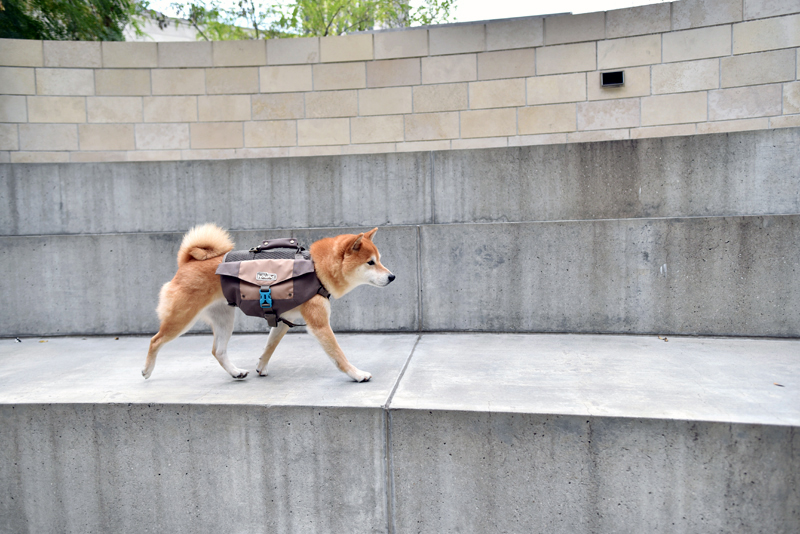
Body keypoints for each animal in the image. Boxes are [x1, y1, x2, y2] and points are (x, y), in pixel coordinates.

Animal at [144, 224, 396, 384]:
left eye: (379, 260)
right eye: (370, 263)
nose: (392, 276)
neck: (315, 269)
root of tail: (187, 262)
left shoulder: (284, 319)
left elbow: (269, 346)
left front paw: (261, 366)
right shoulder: (319, 324)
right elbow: (338, 355)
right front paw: (357, 374)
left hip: (224, 318)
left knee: (218, 351)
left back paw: (236, 372)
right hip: (182, 318)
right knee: (155, 340)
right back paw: (147, 370)